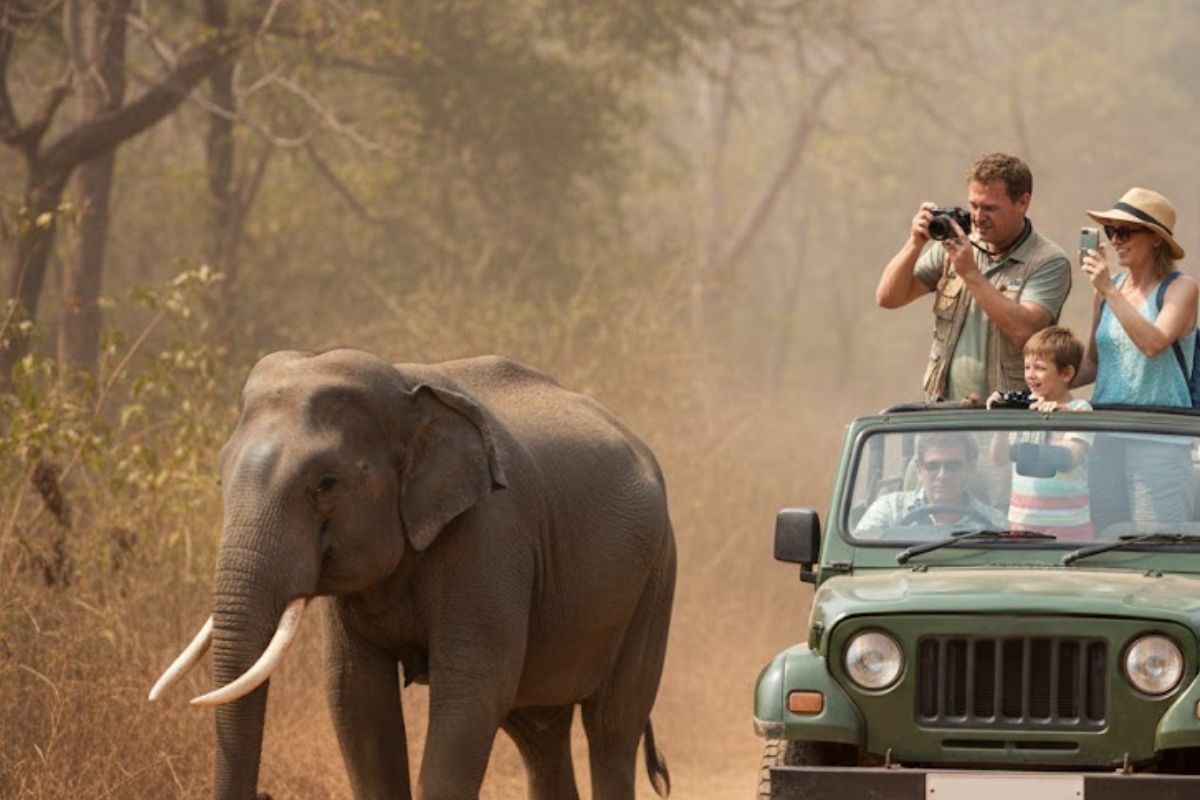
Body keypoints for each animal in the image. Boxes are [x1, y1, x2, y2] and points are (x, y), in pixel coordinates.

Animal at [150, 348, 677, 800]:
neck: (407, 388)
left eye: (326, 483)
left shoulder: (491, 536)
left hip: (655, 580)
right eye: (221, 476)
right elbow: (355, 695)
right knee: (539, 731)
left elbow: (472, 688)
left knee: (612, 727)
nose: (264, 792)